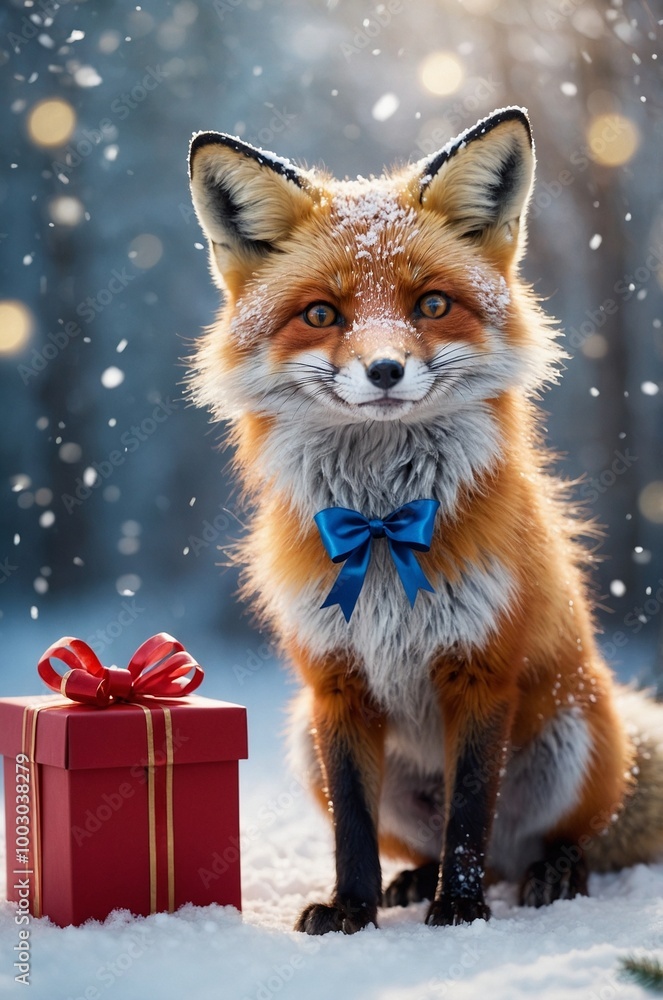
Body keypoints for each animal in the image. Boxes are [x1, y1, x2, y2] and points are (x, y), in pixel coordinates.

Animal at [187, 107, 663, 934]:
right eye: (321, 314)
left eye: (431, 305)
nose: (384, 370)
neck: (381, 527)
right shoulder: (335, 683)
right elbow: (352, 823)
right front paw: (350, 908)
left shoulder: (479, 671)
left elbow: (469, 810)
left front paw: (461, 910)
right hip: (305, 738)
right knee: (432, 844)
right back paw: (412, 880)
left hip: (570, 737)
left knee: (546, 840)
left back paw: (545, 874)